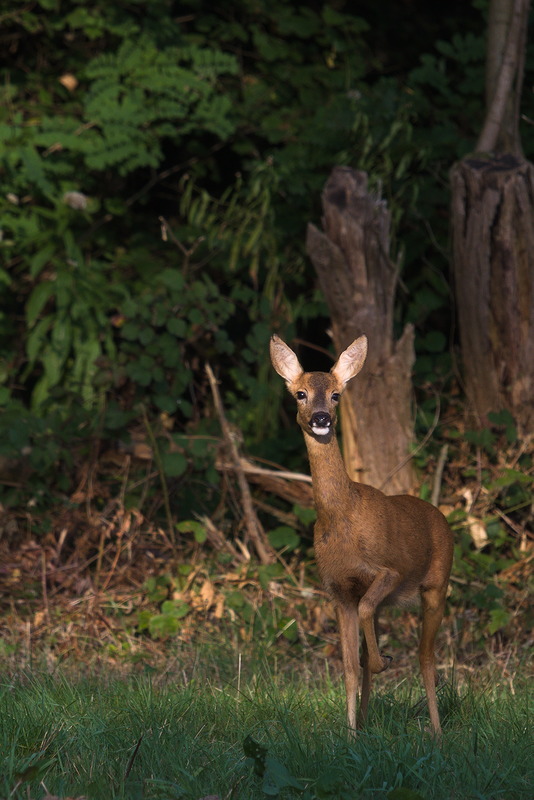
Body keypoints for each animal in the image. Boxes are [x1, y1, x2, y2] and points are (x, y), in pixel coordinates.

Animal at [270, 332, 454, 736]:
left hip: (436, 584)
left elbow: (368, 629)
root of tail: (440, 515)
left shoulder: (389, 572)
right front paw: (351, 735)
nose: (321, 418)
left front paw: (385, 662)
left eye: (337, 394)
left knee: (427, 658)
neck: (342, 519)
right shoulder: (338, 590)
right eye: (300, 393)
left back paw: (436, 734)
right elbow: (350, 668)